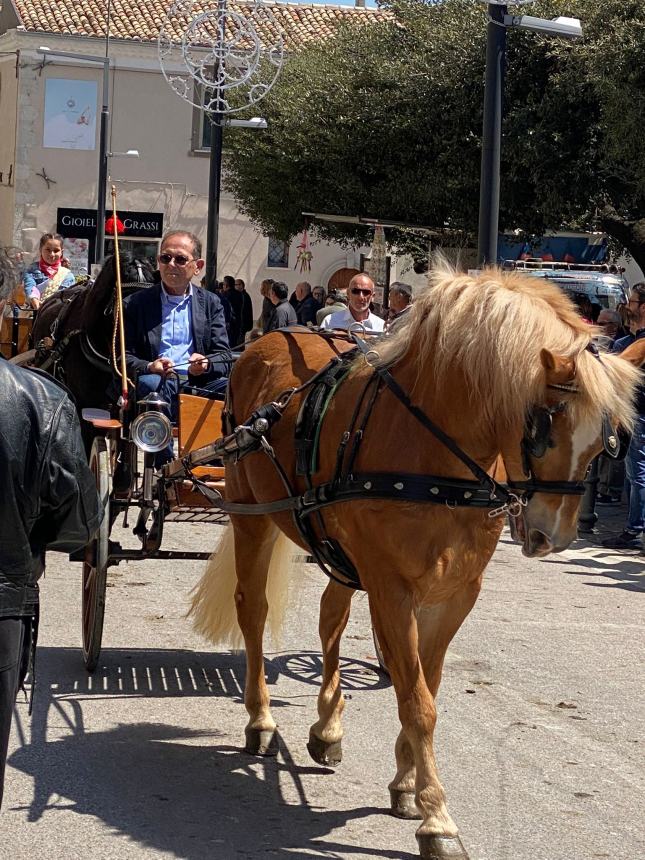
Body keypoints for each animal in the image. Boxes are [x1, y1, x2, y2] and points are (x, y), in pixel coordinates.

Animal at [187, 266, 640, 856]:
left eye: (608, 440)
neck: (434, 452)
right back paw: (261, 719)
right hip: (251, 516)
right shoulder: (392, 588)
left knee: (331, 617)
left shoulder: (455, 593)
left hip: (340, 553)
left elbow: (423, 683)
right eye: (542, 425)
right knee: (254, 610)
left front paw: (405, 783)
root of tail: (263, 342)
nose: (552, 535)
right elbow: (418, 700)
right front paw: (436, 817)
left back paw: (327, 727)